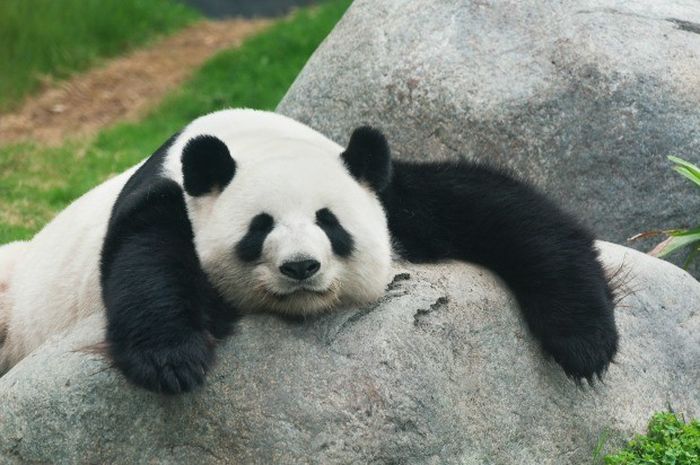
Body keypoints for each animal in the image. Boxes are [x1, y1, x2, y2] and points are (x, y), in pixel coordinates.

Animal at [0, 109, 618, 394]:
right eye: (259, 228)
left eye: (330, 223)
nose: (301, 267)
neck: (250, 141)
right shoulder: (169, 194)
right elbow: (144, 258)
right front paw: (174, 359)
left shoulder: (384, 188)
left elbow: (502, 210)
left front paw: (586, 343)